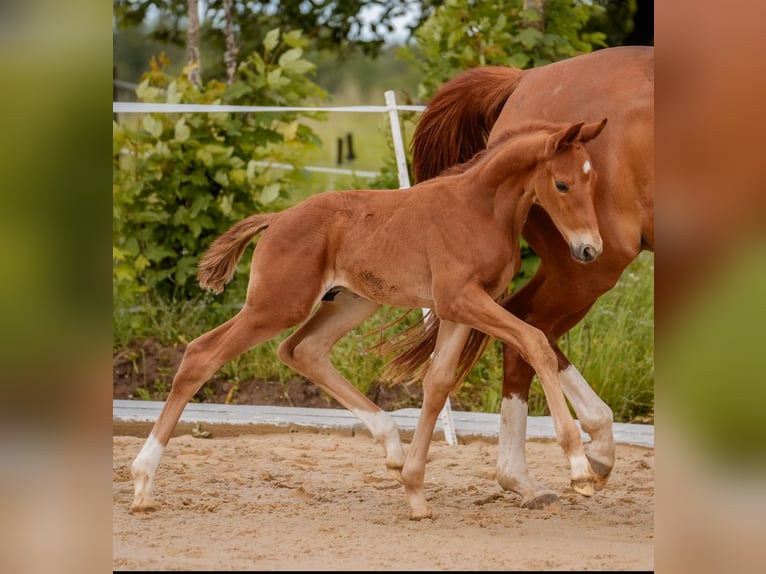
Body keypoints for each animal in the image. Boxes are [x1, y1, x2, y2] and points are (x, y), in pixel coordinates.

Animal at [134, 120, 612, 520]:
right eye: (562, 183)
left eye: (593, 181)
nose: (590, 250)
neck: (480, 208)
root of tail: (277, 219)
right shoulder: (460, 299)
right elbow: (534, 342)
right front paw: (580, 467)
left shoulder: (460, 308)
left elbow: (438, 382)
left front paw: (415, 490)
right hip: (277, 305)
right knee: (202, 353)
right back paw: (142, 481)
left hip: (350, 302)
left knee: (301, 350)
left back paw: (392, 446)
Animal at [408, 46, 656, 512]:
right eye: (562, 184)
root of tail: (524, 80)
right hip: (587, 266)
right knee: (528, 325)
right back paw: (570, 459)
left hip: (582, 265)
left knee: (528, 329)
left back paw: (538, 472)